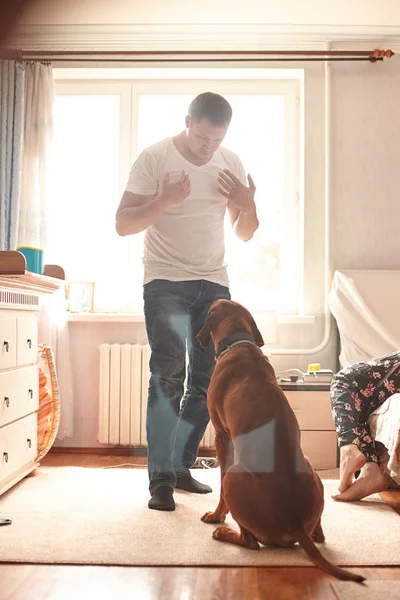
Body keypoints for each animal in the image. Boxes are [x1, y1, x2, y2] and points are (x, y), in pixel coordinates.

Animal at [197, 300, 366, 580]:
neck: (239, 343)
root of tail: (294, 523)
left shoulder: (222, 436)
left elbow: (219, 486)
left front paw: (217, 515)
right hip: (309, 466)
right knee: (319, 535)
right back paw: (316, 533)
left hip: (234, 475)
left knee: (251, 543)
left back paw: (223, 532)